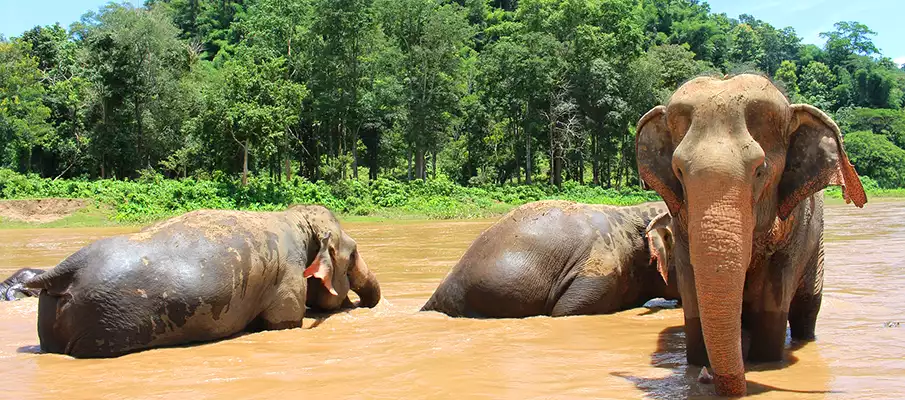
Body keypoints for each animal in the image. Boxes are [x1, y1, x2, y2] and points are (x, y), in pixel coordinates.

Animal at [22, 205, 382, 358]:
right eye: (353, 255)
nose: (363, 303)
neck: (297, 218)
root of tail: (66, 268)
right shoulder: (288, 277)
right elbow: (284, 323)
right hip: (104, 324)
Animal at [632, 72, 864, 396]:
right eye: (678, 172)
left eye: (759, 171)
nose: (705, 378)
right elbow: (691, 287)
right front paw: (697, 364)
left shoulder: (798, 225)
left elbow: (776, 293)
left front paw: (765, 362)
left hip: (816, 249)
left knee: (807, 309)